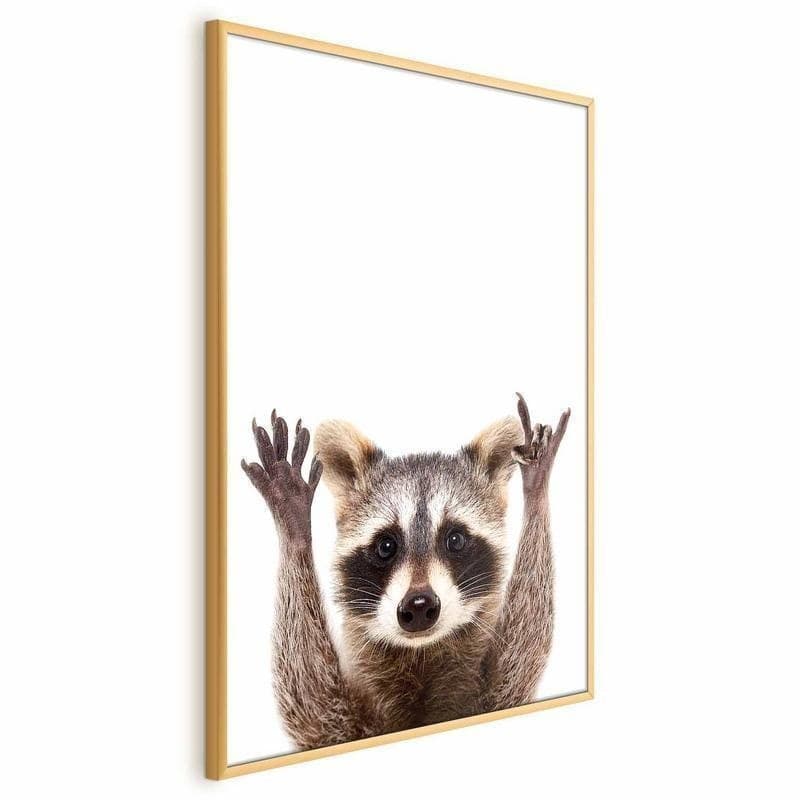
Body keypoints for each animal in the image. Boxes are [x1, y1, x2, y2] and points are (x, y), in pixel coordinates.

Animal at [241, 394, 569, 750]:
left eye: (455, 539)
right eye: (386, 546)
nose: (419, 605)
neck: (421, 655)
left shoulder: (495, 694)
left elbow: (523, 652)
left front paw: (536, 489)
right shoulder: (338, 722)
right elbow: (309, 700)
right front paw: (294, 525)